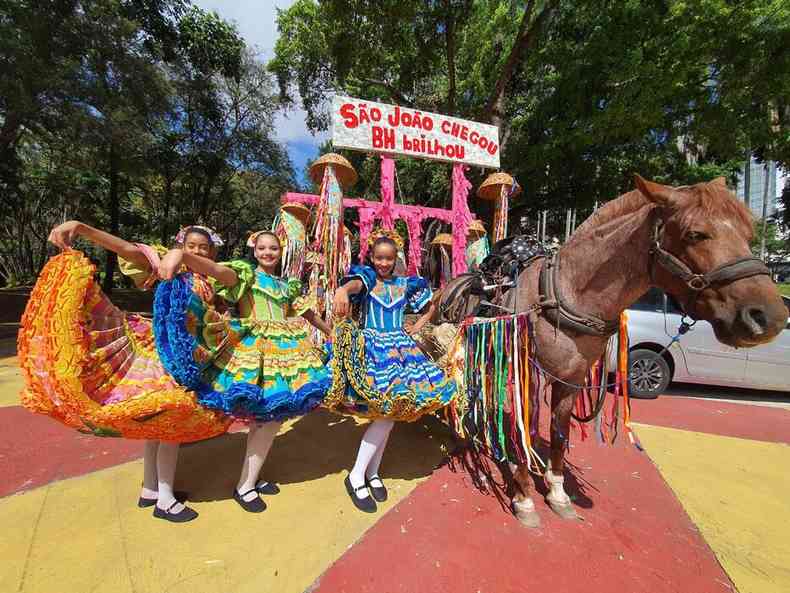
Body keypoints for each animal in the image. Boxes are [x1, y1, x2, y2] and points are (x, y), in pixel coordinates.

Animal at [436, 173, 788, 524]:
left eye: (749, 233)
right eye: (695, 234)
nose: (769, 317)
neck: (561, 295)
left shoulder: (571, 378)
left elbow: (559, 432)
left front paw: (557, 492)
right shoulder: (531, 375)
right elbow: (529, 428)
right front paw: (523, 496)